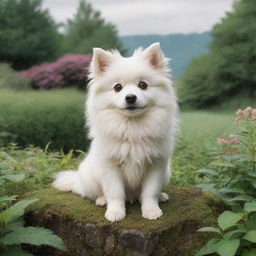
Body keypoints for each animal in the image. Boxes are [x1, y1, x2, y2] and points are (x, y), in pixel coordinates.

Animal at [53, 42, 178, 222]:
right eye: (117, 87)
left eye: (143, 85)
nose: (130, 97)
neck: (132, 127)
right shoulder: (111, 166)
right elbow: (115, 192)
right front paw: (115, 213)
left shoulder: (156, 165)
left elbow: (150, 192)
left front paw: (151, 210)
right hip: (91, 180)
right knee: (93, 192)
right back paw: (101, 199)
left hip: (166, 173)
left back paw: (161, 196)